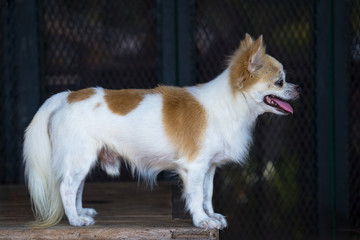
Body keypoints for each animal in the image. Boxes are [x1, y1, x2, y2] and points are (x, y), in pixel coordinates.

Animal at [23, 33, 300, 229]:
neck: (232, 104)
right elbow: (196, 195)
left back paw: (81, 212)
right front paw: (202, 221)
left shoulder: (208, 167)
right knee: (66, 188)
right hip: (80, 157)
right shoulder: (194, 167)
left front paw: (212, 216)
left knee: (76, 188)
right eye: (280, 82)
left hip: (83, 159)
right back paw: (75, 220)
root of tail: (68, 95)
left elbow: (207, 194)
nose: (298, 88)